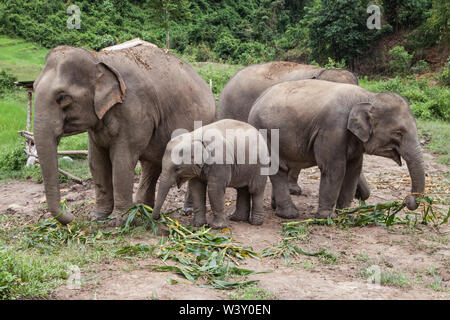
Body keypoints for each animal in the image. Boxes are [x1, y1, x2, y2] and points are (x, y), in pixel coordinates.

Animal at [32, 42, 215, 225]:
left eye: (62, 97)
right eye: (33, 87)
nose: (71, 217)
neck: (98, 58)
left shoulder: (134, 109)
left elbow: (121, 161)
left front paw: (117, 221)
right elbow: (96, 162)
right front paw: (97, 217)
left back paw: (180, 210)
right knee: (151, 165)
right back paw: (142, 209)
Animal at [250, 80, 426, 220]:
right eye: (399, 133)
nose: (406, 200)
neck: (368, 97)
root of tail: (257, 101)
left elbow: (353, 170)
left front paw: (346, 213)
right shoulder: (332, 129)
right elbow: (335, 169)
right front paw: (326, 217)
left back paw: (276, 207)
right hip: (266, 134)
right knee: (277, 169)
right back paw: (289, 215)